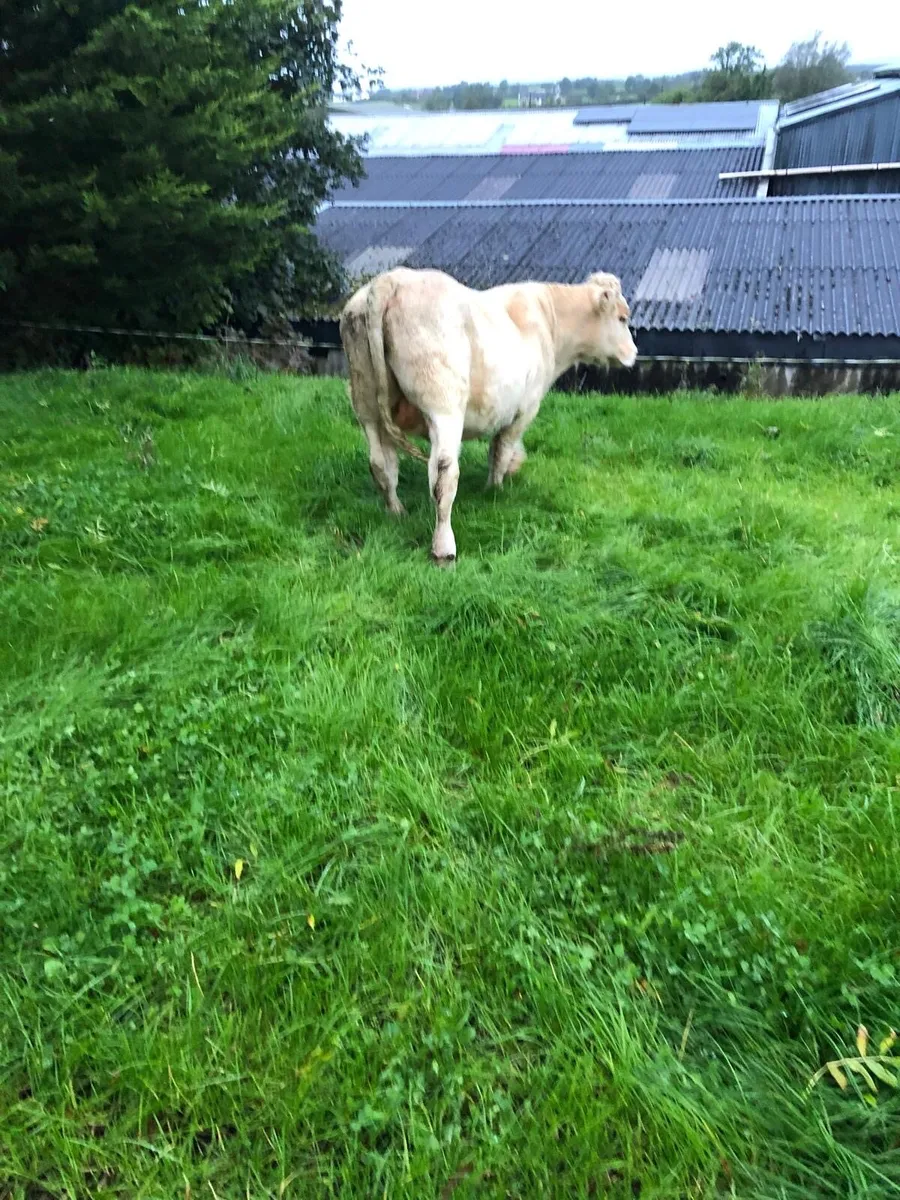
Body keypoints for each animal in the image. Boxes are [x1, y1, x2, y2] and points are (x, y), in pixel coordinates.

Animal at [339, 267, 637, 563]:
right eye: (622, 318)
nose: (634, 352)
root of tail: (392, 279)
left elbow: (496, 450)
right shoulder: (524, 410)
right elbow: (502, 451)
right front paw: (495, 490)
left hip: (367, 406)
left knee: (382, 465)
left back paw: (396, 512)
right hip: (444, 406)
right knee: (443, 475)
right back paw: (444, 549)